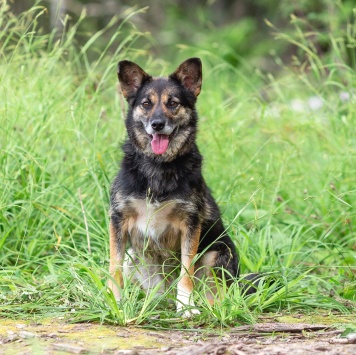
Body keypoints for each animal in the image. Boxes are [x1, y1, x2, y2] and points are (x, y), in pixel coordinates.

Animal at [108, 58, 242, 318]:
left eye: (173, 103)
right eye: (146, 104)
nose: (157, 124)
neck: (158, 166)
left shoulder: (190, 224)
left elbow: (185, 273)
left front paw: (187, 306)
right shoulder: (119, 220)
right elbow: (114, 267)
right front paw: (115, 303)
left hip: (218, 253)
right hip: (133, 258)